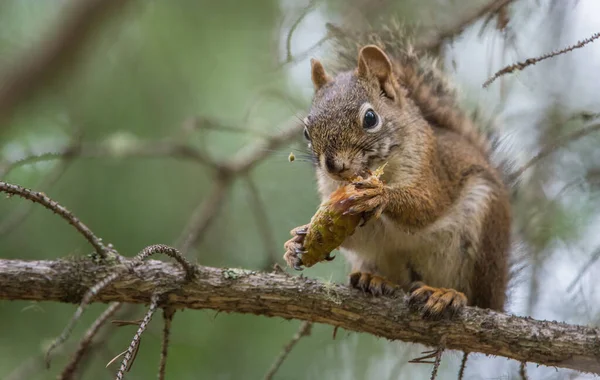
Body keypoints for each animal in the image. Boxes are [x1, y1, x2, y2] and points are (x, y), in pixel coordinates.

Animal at [284, 23, 510, 320]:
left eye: (370, 118)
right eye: (306, 132)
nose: (333, 165)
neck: (379, 169)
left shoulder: (432, 168)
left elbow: (428, 204)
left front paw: (382, 196)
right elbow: (347, 233)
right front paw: (297, 241)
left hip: (483, 238)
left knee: (476, 299)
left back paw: (447, 295)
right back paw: (372, 280)